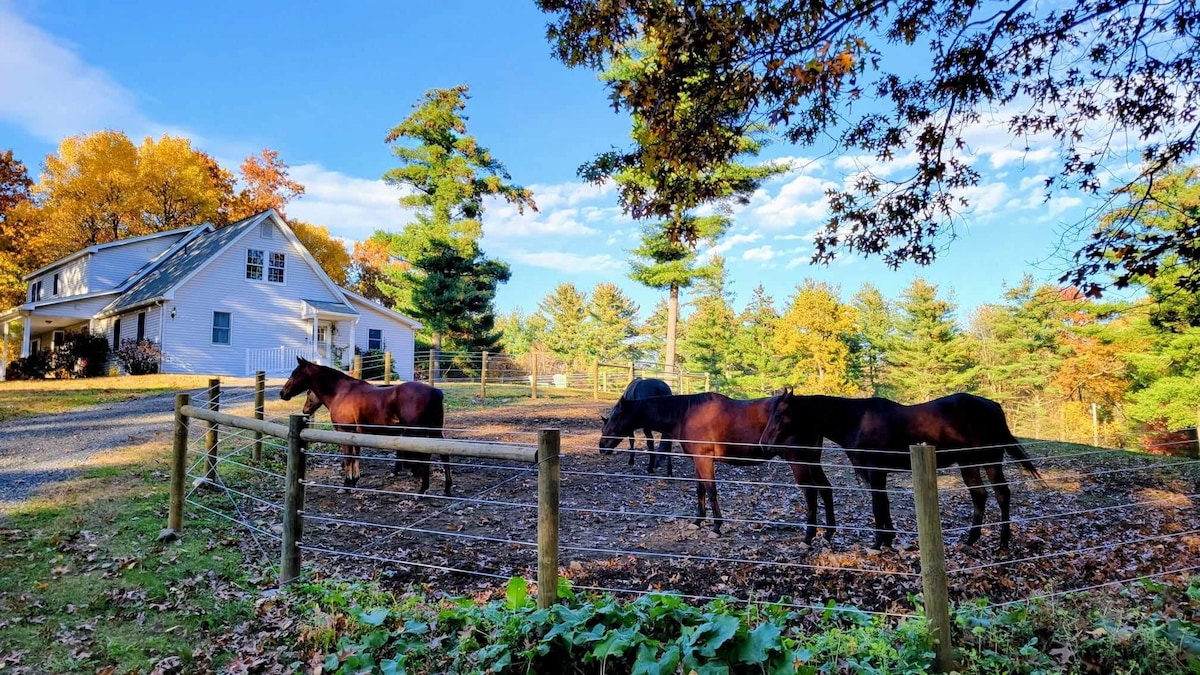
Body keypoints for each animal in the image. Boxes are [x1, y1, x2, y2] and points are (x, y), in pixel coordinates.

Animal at [278, 357, 451, 494]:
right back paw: (446, 488)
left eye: (295, 374)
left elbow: (348, 458)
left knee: (426, 456)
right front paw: (354, 481)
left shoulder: (344, 431)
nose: (282, 393)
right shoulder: (356, 433)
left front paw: (347, 484)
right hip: (435, 431)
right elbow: (356, 456)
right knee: (443, 454)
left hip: (418, 432)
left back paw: (423, 489)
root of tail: (436, 392)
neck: (341, 392)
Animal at [600, 389, 835, 540]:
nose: (602, 445)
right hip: (812, 460)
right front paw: (697, 522)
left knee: (811, 493)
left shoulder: (705, 460)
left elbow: (712, 491)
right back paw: (828, 533)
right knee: (825, 489)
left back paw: (808, 536)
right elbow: (700, 490)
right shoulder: (697, 460)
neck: (686, 413)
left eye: (615, 416)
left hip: (799, 461)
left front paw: (716, 527)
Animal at [763, 389, 1036, 552]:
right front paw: (888, 538)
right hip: (970, 464)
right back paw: (973, 539)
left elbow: (877, 505)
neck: (856, 421)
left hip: (988, 460)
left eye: (780, 413)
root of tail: (993, 406)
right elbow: (884, 504)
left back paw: (1002, 542)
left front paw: (877, 542)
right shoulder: (878, 473)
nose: (765, 444)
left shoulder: (875, 471)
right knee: (983, 495)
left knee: (1000, 495)